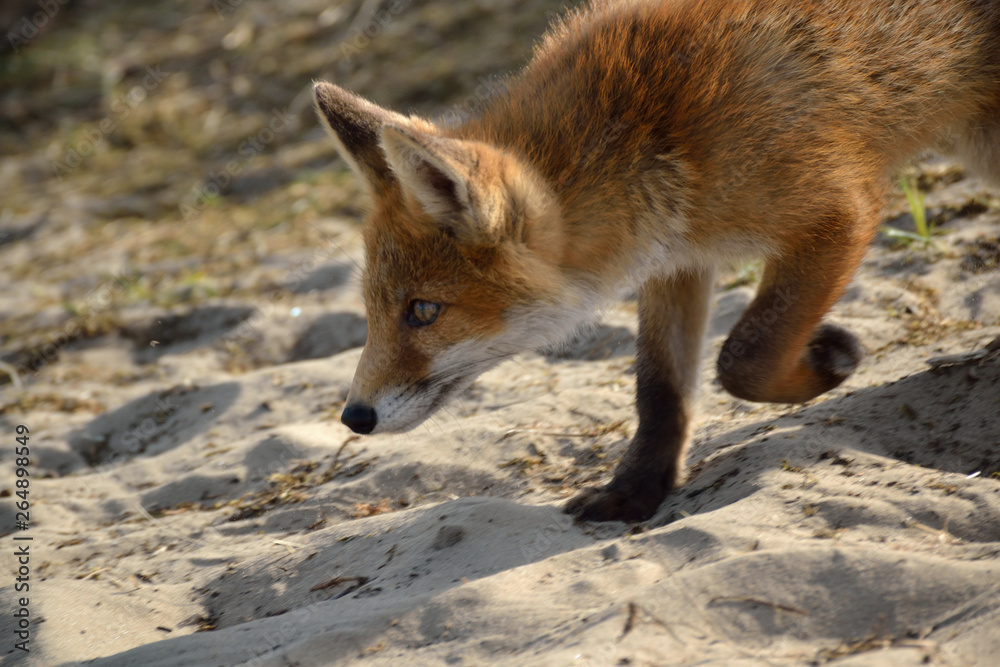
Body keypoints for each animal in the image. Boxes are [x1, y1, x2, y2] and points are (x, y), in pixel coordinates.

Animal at [313, 0, 1000, 523]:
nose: (354, 417)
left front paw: (830, 363)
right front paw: (635, 491)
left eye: (423, 311)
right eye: (372, 310)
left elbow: (743, 359)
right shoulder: (676, 260)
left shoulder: (840, 213)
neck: (658, 125)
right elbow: (660, 389)